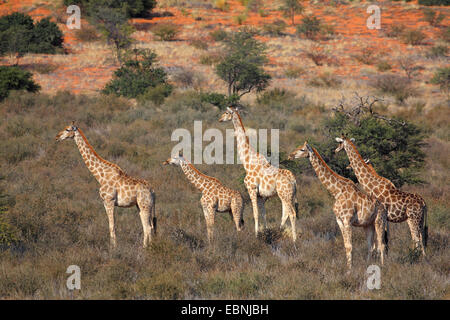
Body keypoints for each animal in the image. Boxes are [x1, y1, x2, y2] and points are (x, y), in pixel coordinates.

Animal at [219, 106, 298, 241]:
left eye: (226, 112)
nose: (219, 119)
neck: (247, 162)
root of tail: (293, 180)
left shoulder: (252, 189)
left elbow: (255, 213)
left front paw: (256, 235)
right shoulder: (262, 196)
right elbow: (263, 214)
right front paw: (266, 232)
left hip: (285, 195)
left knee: (292, 214)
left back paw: (294, 240)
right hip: (288, 195)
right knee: (286, 213)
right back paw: (280, 231)